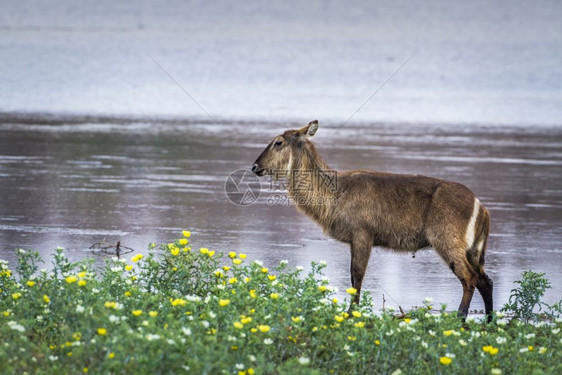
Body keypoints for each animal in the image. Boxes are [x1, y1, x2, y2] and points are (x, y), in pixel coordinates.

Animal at [252, 121, 492, 320]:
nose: (254, 167)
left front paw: (352, 313)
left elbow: (357, 275)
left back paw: (460, 318)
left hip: (447, 242)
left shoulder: (362, 235)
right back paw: (489, 320)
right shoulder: (354, 240)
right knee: (485, 280)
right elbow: (352, 277)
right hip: (473, 250)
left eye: (278, 142)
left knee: (470, 278)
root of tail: (481, 207)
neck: (335, 194)